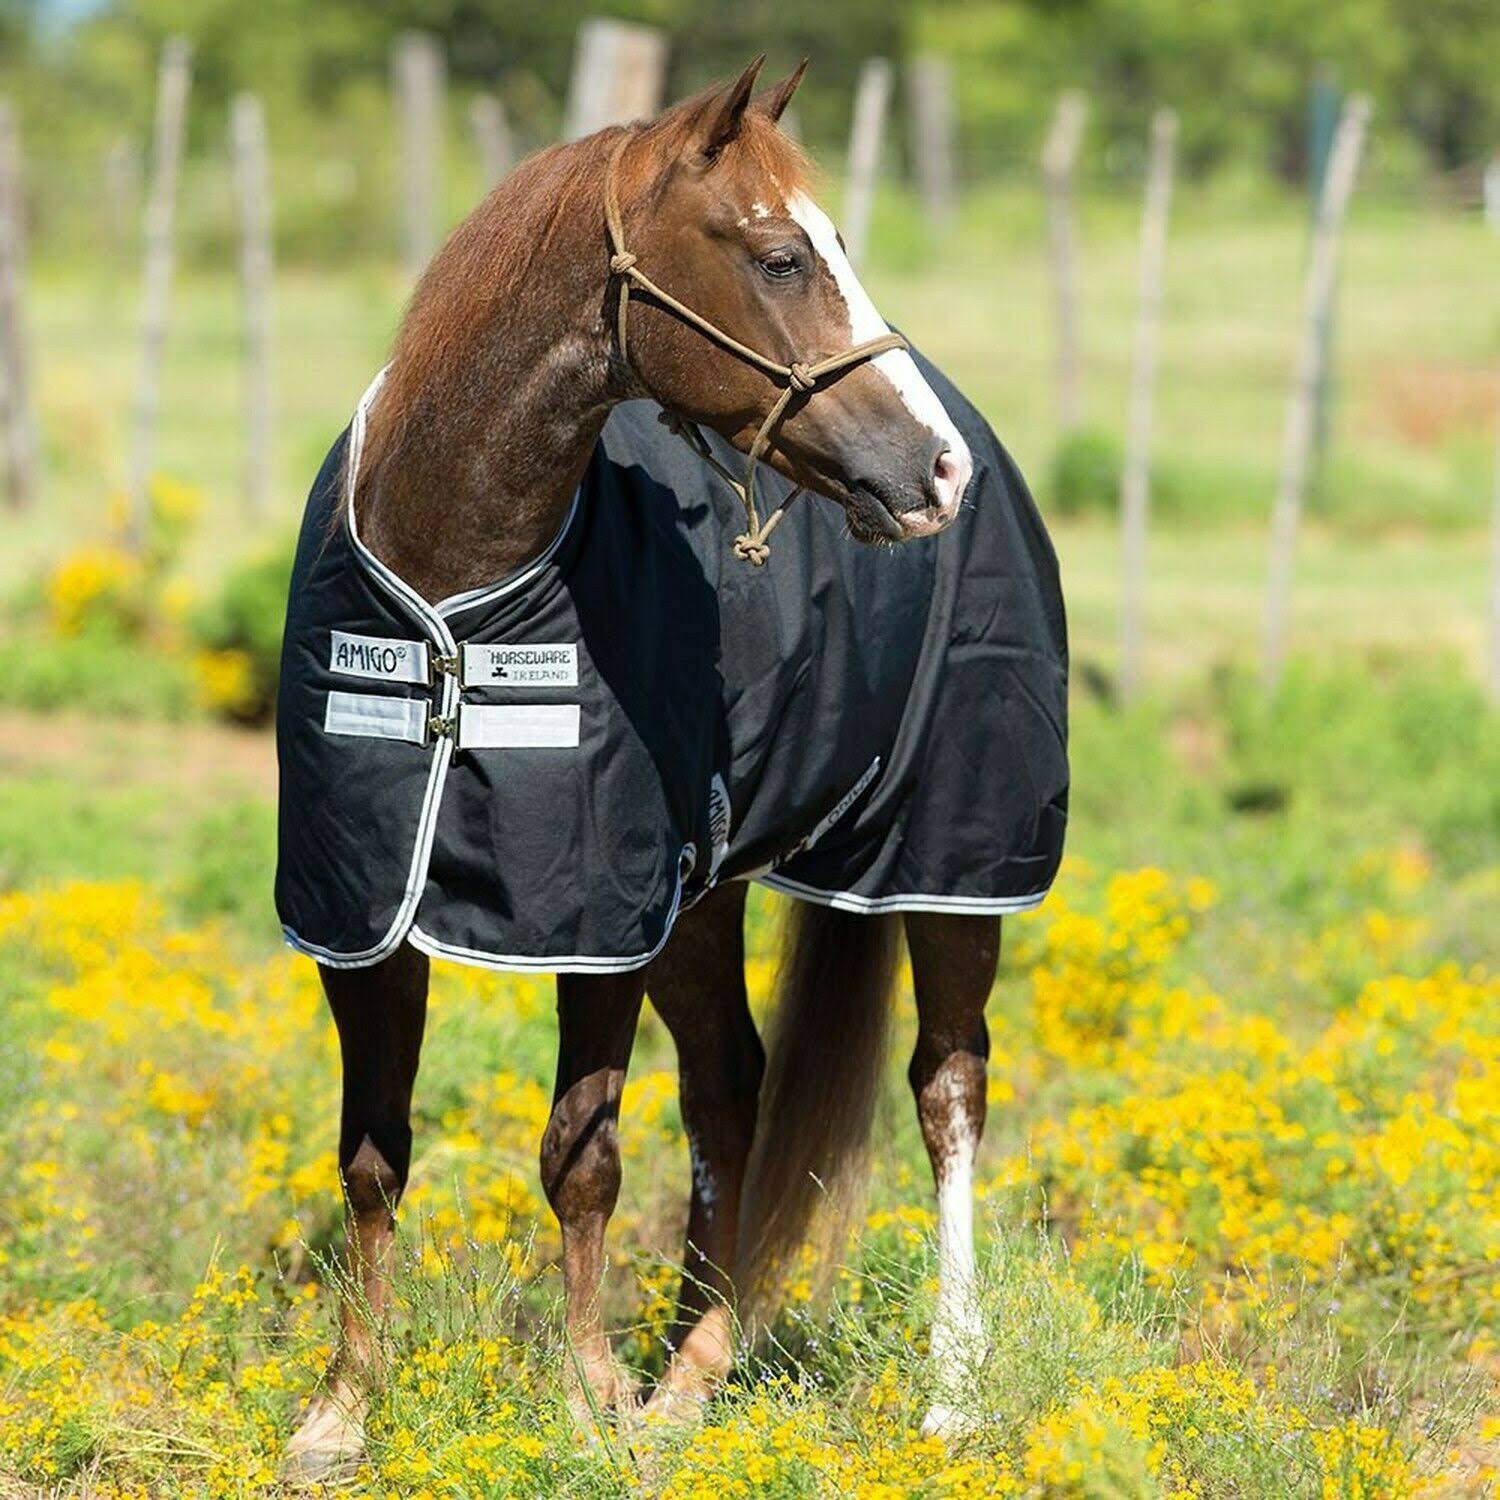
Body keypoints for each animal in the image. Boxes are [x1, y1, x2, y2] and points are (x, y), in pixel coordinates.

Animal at [277, 57, 1068, 1477]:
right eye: (779, 256)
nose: (936, 469)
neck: (454, 596)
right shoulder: (363, 920)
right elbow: (372, 1156)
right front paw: (341, 1415)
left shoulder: (591, 926)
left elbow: (580, 1158)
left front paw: (588, 1408)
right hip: (701, 895)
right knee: (730, 1089)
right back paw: (691, 1375)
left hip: (950, 865)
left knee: (948, 1088)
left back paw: (950, 1389)